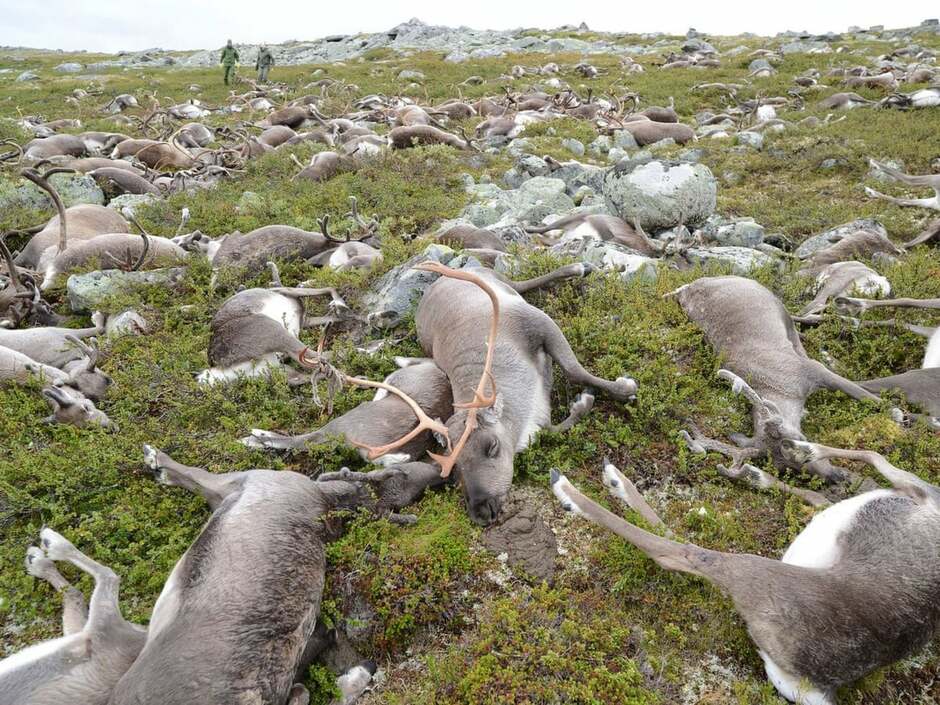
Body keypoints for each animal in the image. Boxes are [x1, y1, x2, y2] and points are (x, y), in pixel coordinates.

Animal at [105, 445, 440, 705]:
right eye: (401, 473)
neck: (327, 503)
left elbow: (193, 473)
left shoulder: (247, 480)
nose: (436, 471)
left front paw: (155, 459)